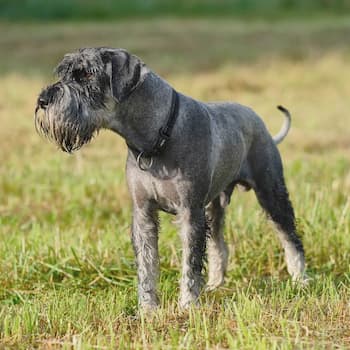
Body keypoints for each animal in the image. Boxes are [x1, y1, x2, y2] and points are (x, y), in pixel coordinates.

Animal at [33, 46, 306, 308]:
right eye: (64, 73)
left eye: (86, 75)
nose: (43, 100)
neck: (160, 135)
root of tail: (259, 121)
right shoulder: (143, 213)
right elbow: (147, 265)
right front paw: (147, 308)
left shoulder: (190, 213)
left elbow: (190, 263)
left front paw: (187, 304)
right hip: (215, 205)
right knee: (219, 244)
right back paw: (215, 284)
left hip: (271, 192)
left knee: (290, 236)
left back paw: (300, 280)